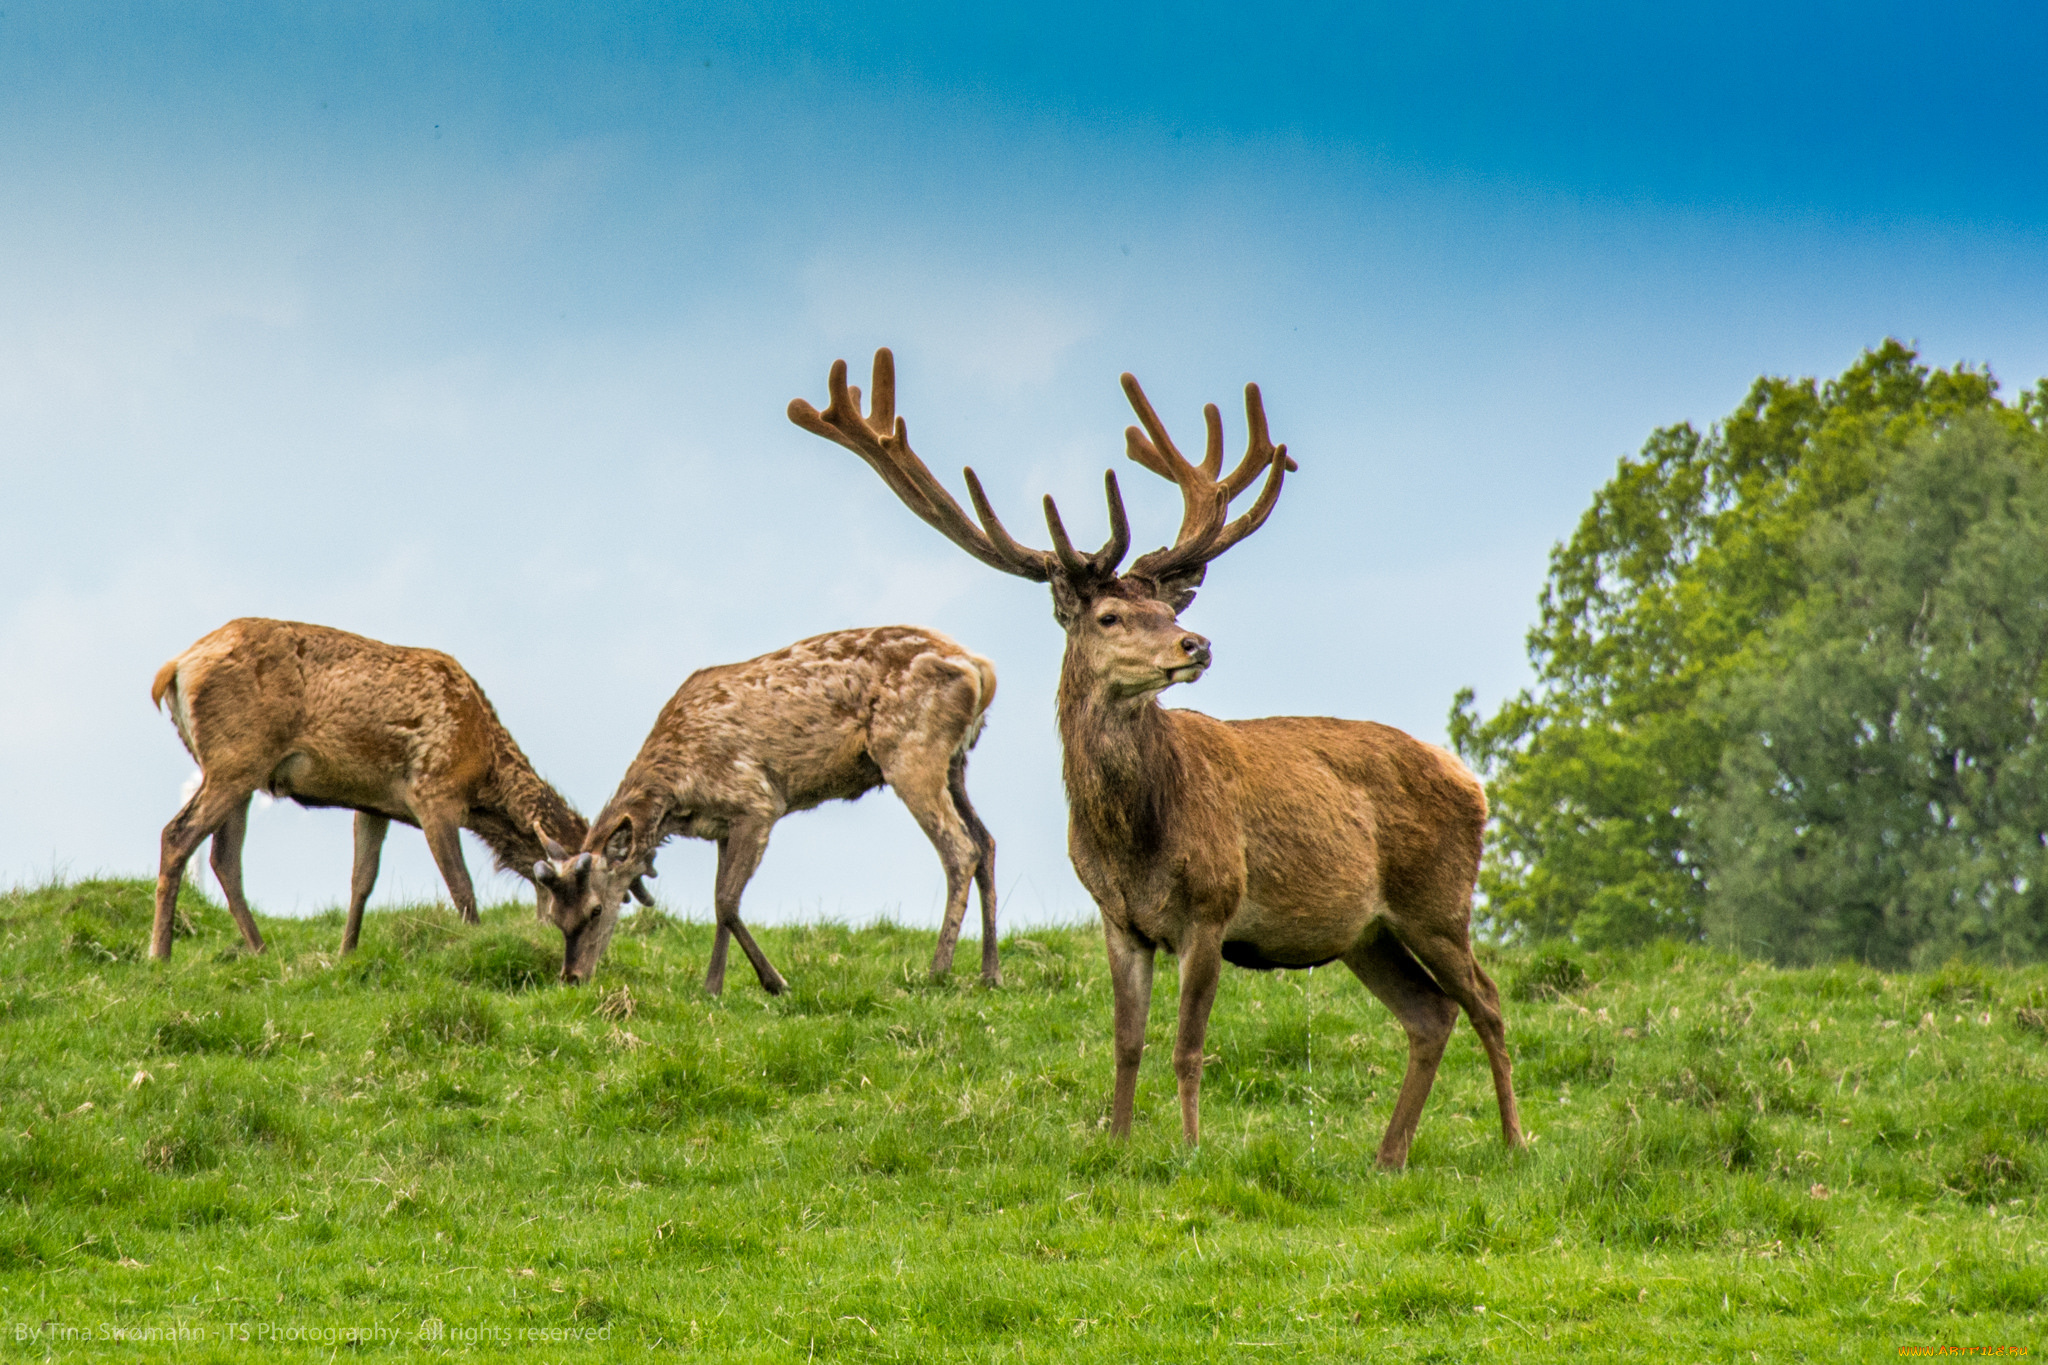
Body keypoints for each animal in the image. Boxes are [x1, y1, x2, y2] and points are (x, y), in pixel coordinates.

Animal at [146, 618, 585, 961]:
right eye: (579, 881)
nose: (567, 933)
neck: (482, 777)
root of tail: (174, 668)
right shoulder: (434, 793)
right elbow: (462, 887)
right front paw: (476, 943)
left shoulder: (374, 803)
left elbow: (362, 880)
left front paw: (346, 952)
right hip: (235, 760)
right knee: (177, 834)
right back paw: (160, 953)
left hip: (244, 774)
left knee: (224, 858)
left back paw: (261, 950)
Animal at [536, 626, 999, 994]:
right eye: (554, 916)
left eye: (597, 909)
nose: (571, 978)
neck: (678, 794)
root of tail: (981, 670)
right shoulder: (722, 826)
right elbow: (717, 898)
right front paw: (712, 987)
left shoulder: (756, 802)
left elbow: (727, 901)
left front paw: (774, 982)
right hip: (955, 762)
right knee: (987, 842)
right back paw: (989, 973)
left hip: (911, 752)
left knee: (960, 849)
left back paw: (937, 971)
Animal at [782, 347, 1523, 1170]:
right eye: (1110, 616)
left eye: (1169, 610)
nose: (1195, 644)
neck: (1132, 838)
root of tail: (1472, 782)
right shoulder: (1118, 918)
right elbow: (1127, 1042)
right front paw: (1117, 1139)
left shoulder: (1212, 907)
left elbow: (1187, 1046)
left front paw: (1193, 1149)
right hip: (1365, 932)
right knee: (1429, 1013)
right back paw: (1387, 1156)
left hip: (1437, 900)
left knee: (1487, 1002)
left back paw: (1513, 1141)